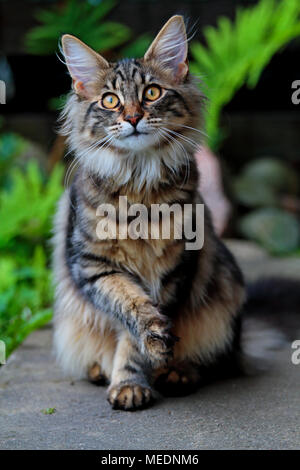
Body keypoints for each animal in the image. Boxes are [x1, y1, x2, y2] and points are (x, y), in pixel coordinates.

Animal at [52, 16, 298, 410]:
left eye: (152, 93)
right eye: (110, 100)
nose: (133, 117)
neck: (139, 188)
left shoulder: (175, 267)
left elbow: (140, 334)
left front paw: (146, 369)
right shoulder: (93, 267)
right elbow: (131, 314)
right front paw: (131, 378)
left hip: (225, 294)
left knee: (218, 361)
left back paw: (179, 372)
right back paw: (100, 370)